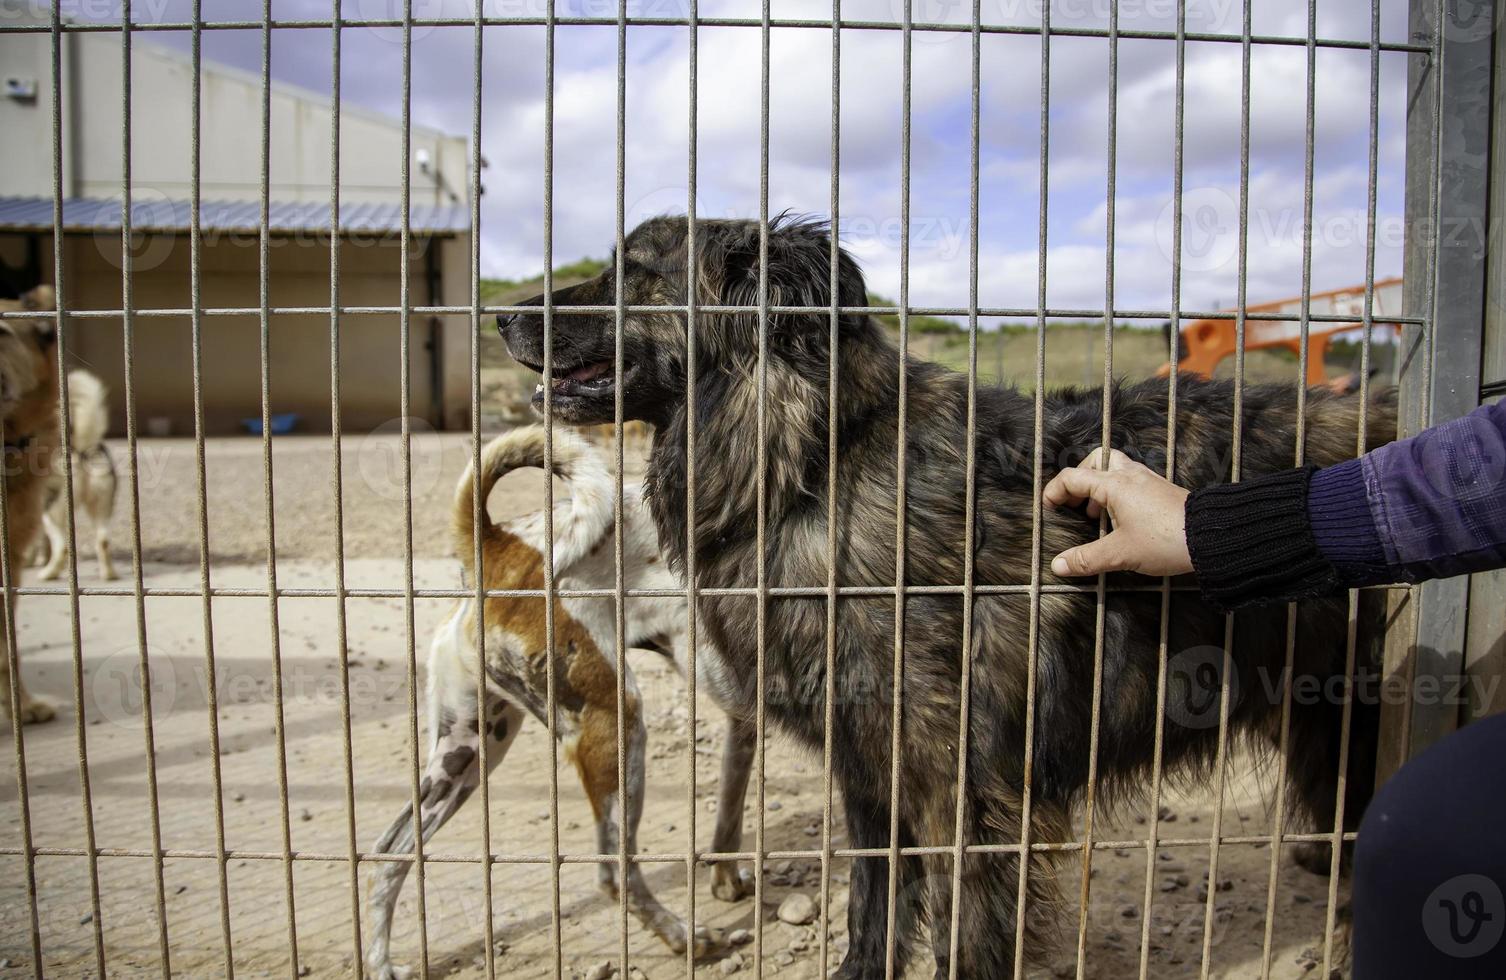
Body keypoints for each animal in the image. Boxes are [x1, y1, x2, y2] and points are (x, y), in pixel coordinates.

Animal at [32, 367, 117, 584]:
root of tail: (80, 448)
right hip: (101, 504)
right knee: (103, 540)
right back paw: (109, 574)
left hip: (52, 511)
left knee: (62, 547)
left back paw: (48, 574)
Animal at [364, 424, 753, 975]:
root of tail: (499, 544)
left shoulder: (745, 720)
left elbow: (729, 812)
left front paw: (726, 879)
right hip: (616, 726)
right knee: (614, 869)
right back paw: (683, 936)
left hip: (469, 749)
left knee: (389, 853)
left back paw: (380, 963)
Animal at [499, 218, 1391, 975]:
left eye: (633, 272)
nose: (503, 317)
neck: (814, 463)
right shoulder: (870, 770)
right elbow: (873, 910)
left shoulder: (965, 791)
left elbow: (961, 938)